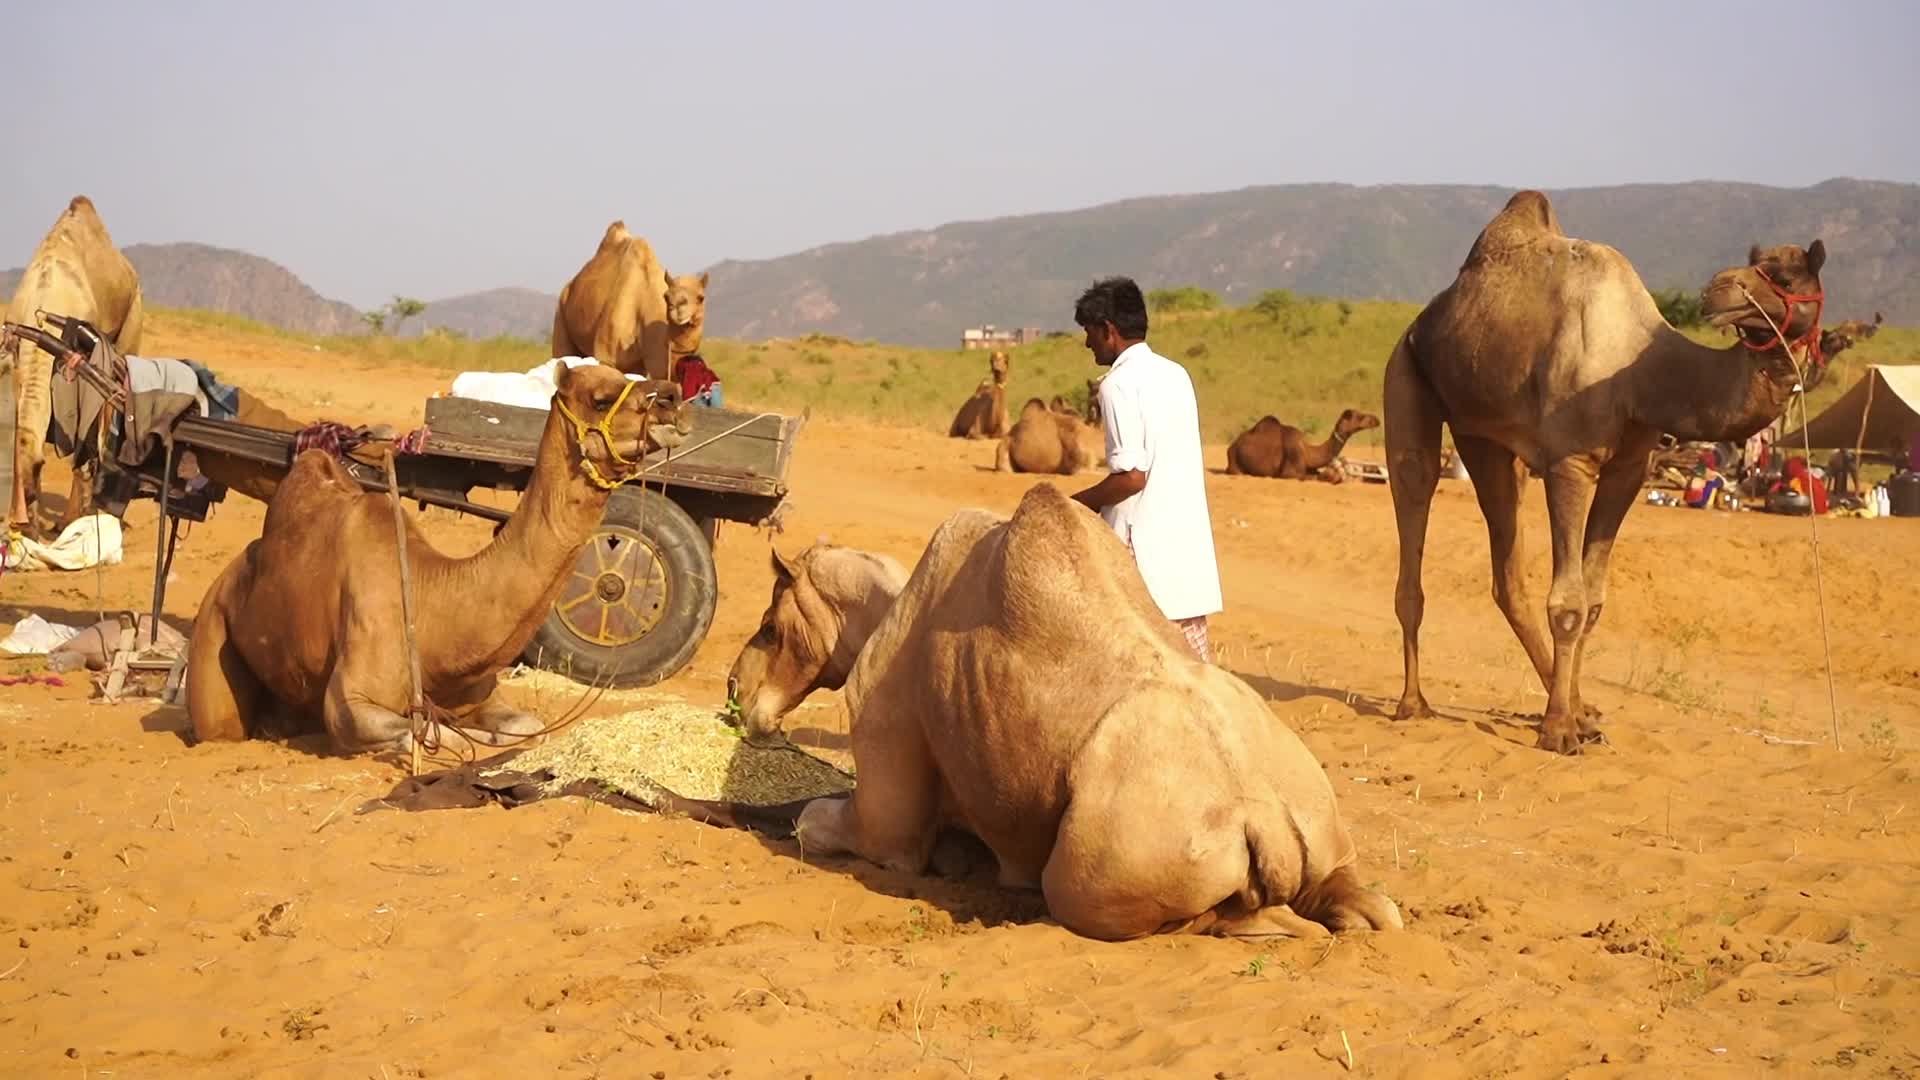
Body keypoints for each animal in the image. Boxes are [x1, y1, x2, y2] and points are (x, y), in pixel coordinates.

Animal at [186, 363, 692, 754]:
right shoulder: (352, 703)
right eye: (602, 398)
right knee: (220, 724)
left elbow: (527, 729)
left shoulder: (483, 694)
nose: (672, 397)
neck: (435, 609)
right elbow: (427, 733)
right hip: (213, 639)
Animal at [724, 484, 1401, 941]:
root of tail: (1261, 819)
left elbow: (814, 822)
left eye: (769, 627)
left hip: (1098, 875)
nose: (737, 694)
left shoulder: (889, 819)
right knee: (1372, 907)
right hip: (1323, 832)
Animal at [1225, 408, 1380, 479]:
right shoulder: (1290, 472)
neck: (1307, 451)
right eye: (1360, 417)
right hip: (1234, 462)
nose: (1376, 419)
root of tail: (1232, 445)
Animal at [1385, 190, 1830, 754]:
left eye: (1788, 276)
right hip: (1405, 376)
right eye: (1760, 268)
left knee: (1507, 569)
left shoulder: (1628, 469)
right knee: (1414, 491)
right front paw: (1558, 731)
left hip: (1484, 439)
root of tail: (1419, 323)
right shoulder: (1569, 463)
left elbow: (1593, 603)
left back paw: (1577, 708)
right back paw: (1412, 703)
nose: (1719, 289)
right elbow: (1568, 603)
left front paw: (1577, 717)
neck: (1642, 369)